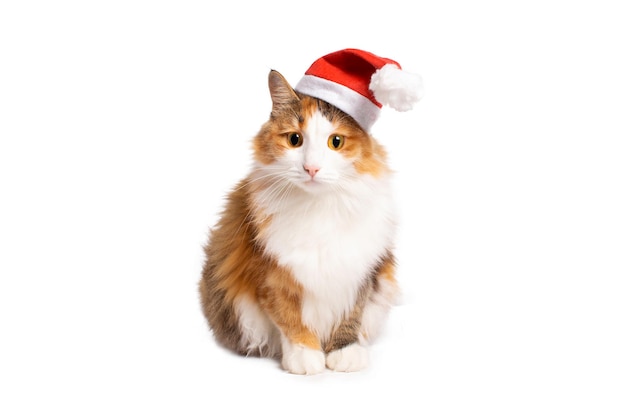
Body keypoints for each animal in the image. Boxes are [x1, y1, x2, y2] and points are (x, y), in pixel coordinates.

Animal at [199, 49, 420, 374]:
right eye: (295, 140)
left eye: (336, 142)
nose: (311, 168)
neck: (319, 206)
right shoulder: (271, 273)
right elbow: (289, 317)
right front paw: (305, 354)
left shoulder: (359, 270)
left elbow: (351, 314)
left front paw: (344, 350)